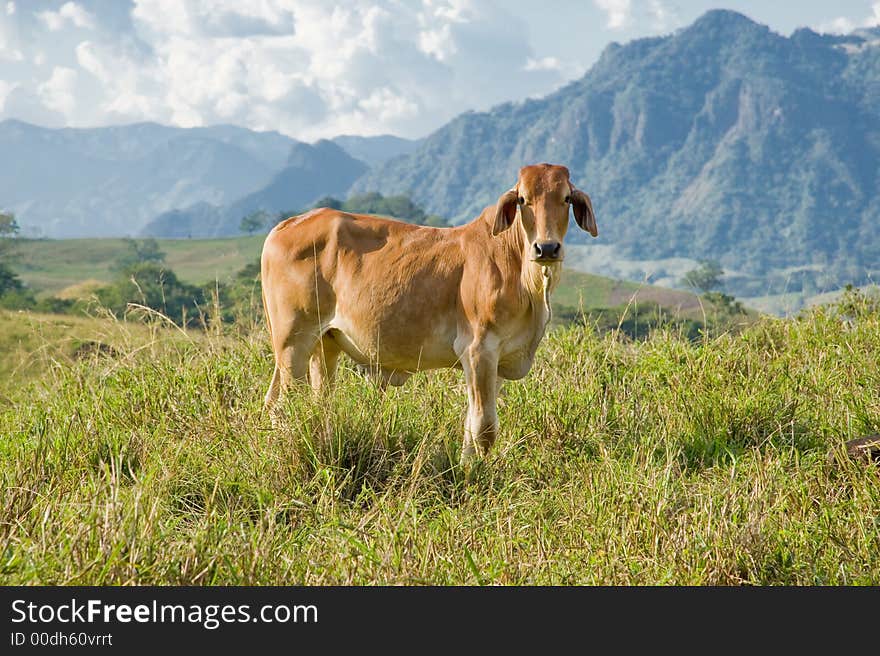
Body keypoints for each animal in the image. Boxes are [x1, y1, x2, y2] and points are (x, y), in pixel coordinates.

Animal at [258, 164, 596, 462]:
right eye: (523, 199)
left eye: (566, 197)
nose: (546, 248)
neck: (526, 277)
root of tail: (287, 225)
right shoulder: (479, 350)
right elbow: (484, 429)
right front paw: (473, 478)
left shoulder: (500, 360)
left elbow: (472, 426)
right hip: (293, 342)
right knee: (284, 406)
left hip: (324, 343)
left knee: (314, 405)